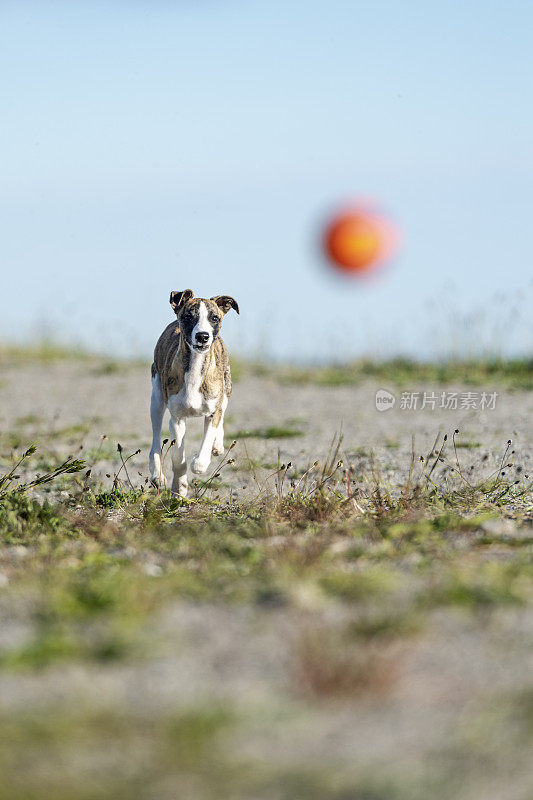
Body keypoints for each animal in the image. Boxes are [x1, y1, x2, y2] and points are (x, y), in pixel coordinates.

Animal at [149, 290, 238, 496]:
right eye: (188, 317)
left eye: (214, 318)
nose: (203, 336)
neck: (196, 366)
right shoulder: (177, 419)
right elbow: (178, 459)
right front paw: (179, 488)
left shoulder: (213, 411)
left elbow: (206, 443)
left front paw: (199, 463)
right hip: (156, 398)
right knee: (155, 440)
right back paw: (157, 475)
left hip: (227, 387)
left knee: (222, 412)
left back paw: (217, 445)